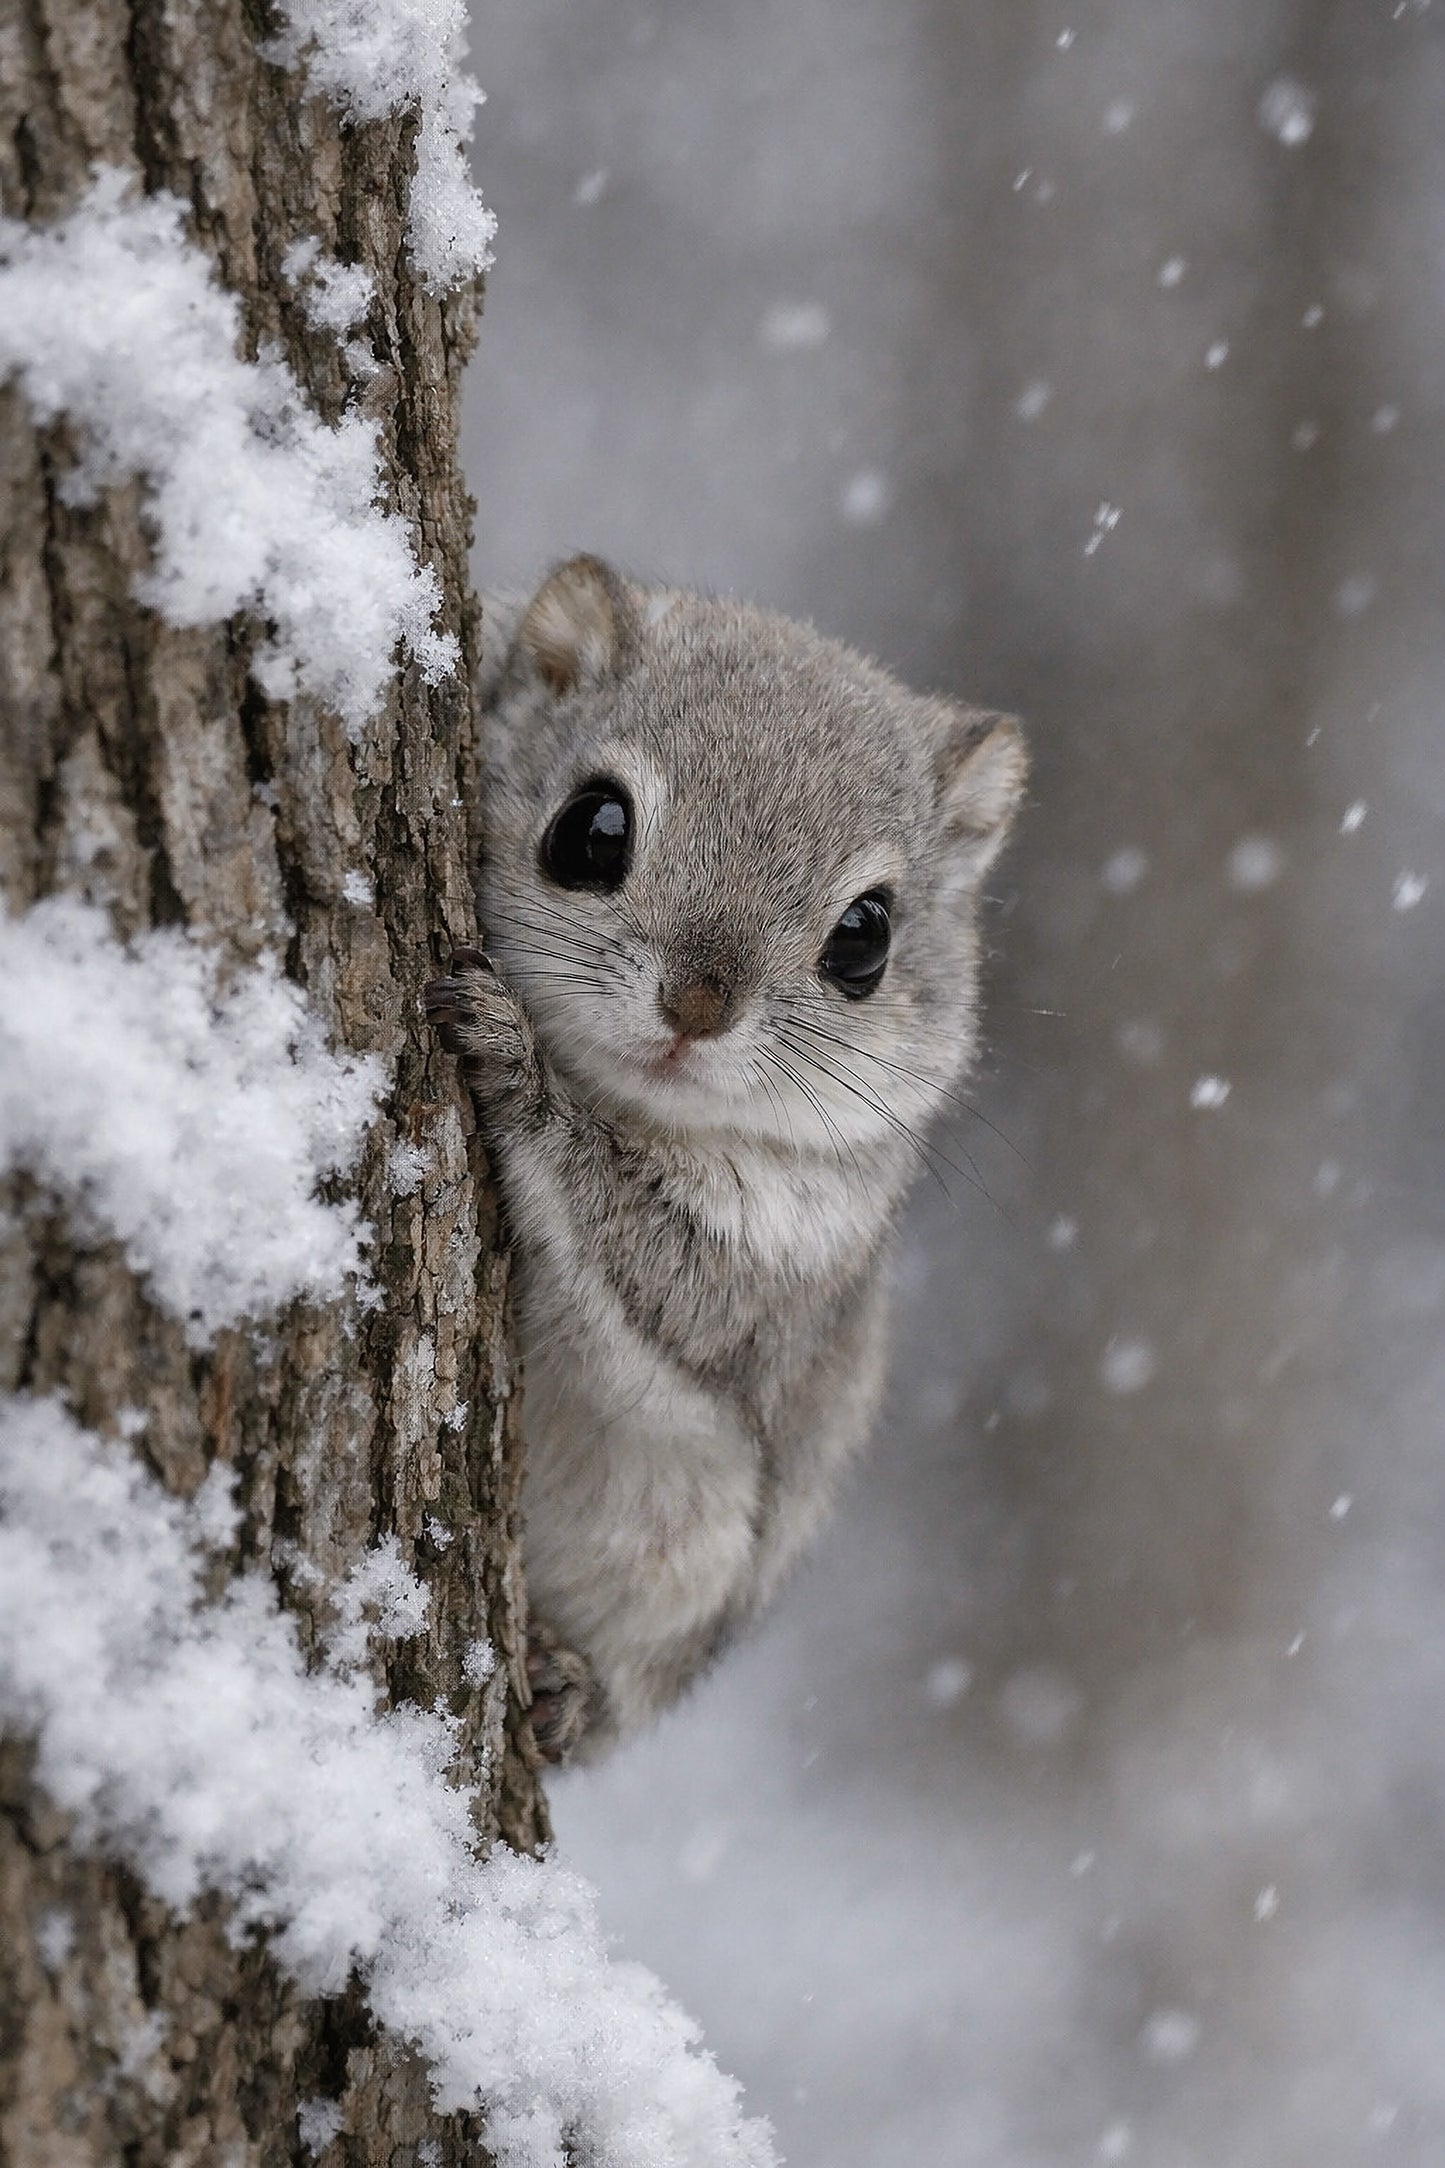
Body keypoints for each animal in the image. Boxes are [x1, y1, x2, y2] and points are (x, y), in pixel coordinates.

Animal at [426, 555, 1026, 1762]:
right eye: (592, 828)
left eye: (864, 938)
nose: (695, 1007)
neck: (632, 1104)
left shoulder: (788, 1267)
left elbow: (669, 1278)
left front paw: (517, 1069)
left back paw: (564, 1688)